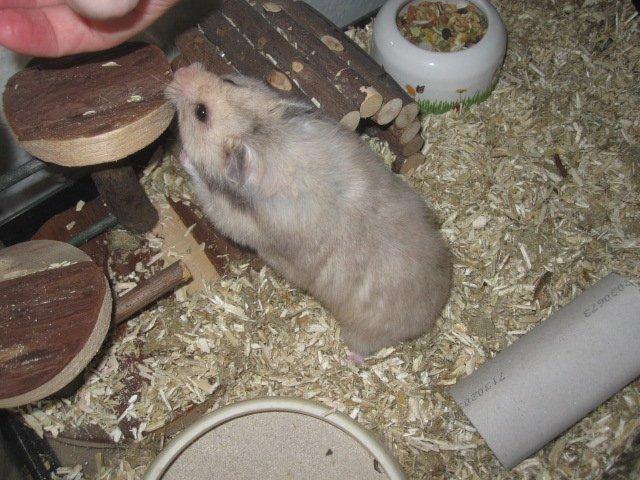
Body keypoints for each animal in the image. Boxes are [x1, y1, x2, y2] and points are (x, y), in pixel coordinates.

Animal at [165, 63, 452, 357]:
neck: (267, 137)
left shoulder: (240, 223)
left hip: (365, 330)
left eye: (201, 113)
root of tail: (432, 314)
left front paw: (186, 157)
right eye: (229, 80)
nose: (181, 70)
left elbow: (208, 194)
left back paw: (351, 357)